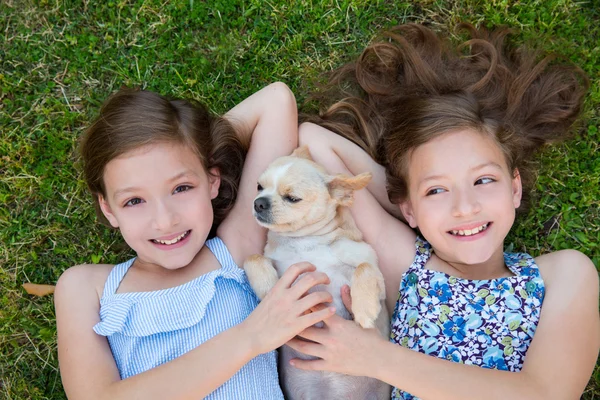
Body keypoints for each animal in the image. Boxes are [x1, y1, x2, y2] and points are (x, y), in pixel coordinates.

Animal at [243, 147, 390, 400]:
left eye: (292, 198)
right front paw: (269, 287)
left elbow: (365, 267)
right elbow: (252, 258)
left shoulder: (376, 278)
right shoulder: (272, 259)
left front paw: (365, 310)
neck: (304, 242)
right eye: (259, 187)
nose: (258, 203)